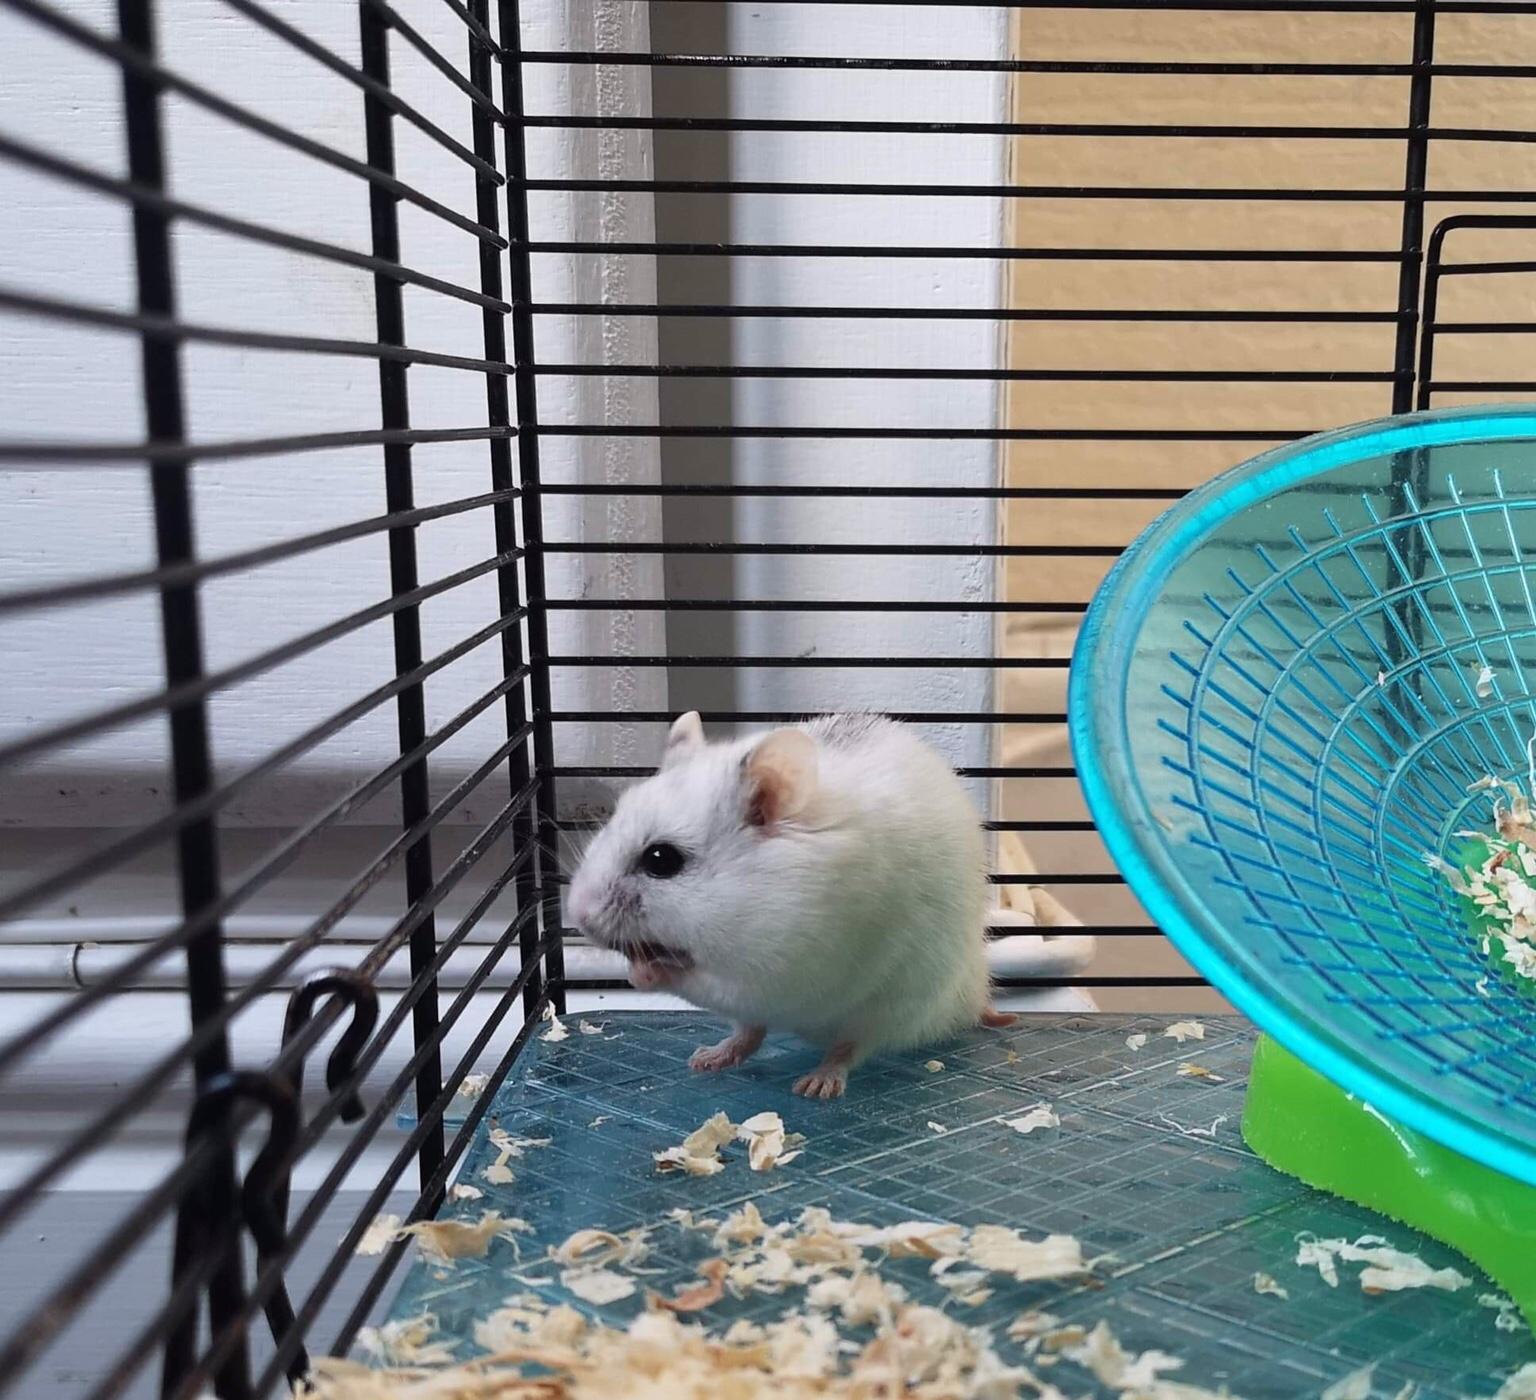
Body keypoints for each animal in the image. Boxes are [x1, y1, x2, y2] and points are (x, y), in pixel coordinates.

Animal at [565, 712, 1012, 1098]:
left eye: (661, 859)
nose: (579, 915)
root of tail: (967, 1001)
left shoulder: (779, 968)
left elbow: (704, 981)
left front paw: (643, 972)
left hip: (893, 1007)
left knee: (849, 1047)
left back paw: (816, 1085)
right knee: (750, 1033)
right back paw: (706, 1059)